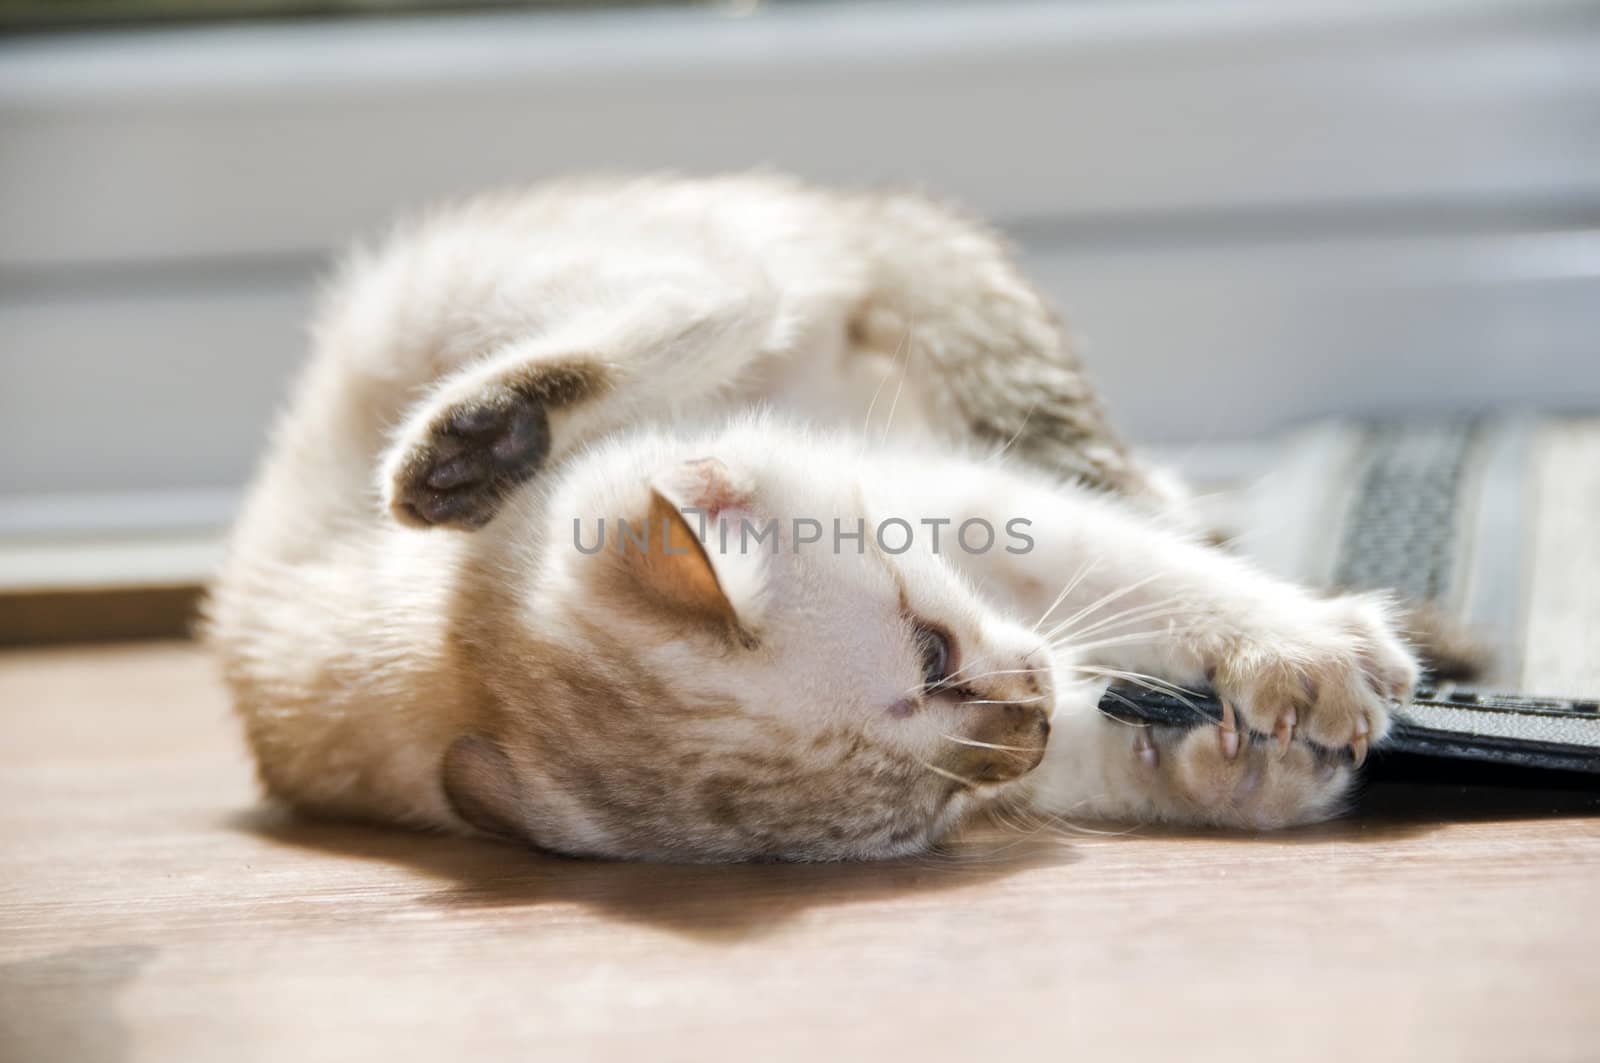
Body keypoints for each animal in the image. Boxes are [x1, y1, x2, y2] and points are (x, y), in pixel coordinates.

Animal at [206, 170, 1420, 858]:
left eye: (933, 650)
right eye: (927, 814)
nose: (1028, 713)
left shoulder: (968, 501)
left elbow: (1148, 568)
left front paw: (1299, 649)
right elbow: (1096, 728)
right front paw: (1247, 772)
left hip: (547, 291)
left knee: (716, 293)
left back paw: (471, 446)